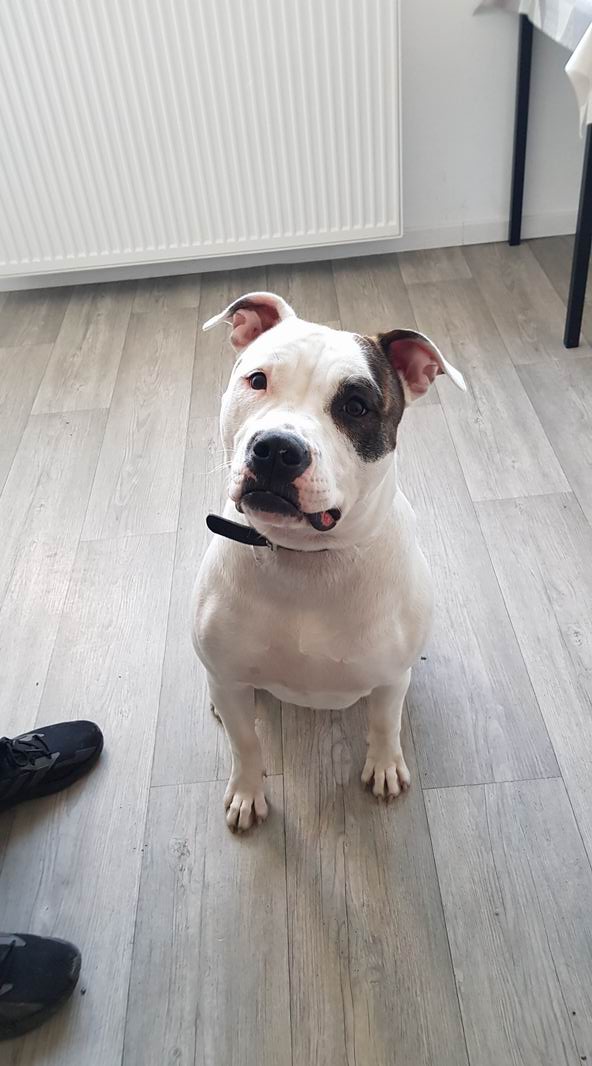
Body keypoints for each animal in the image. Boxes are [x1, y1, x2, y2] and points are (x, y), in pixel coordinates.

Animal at [192, 291, 465, 830]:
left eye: (355, 406)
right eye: (258, 380)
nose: (277, 448)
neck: (307, 561)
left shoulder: (389, 679)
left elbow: (384, 723)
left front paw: (384, 766)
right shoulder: (231, 683)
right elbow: (245, 742)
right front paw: (248, 792)